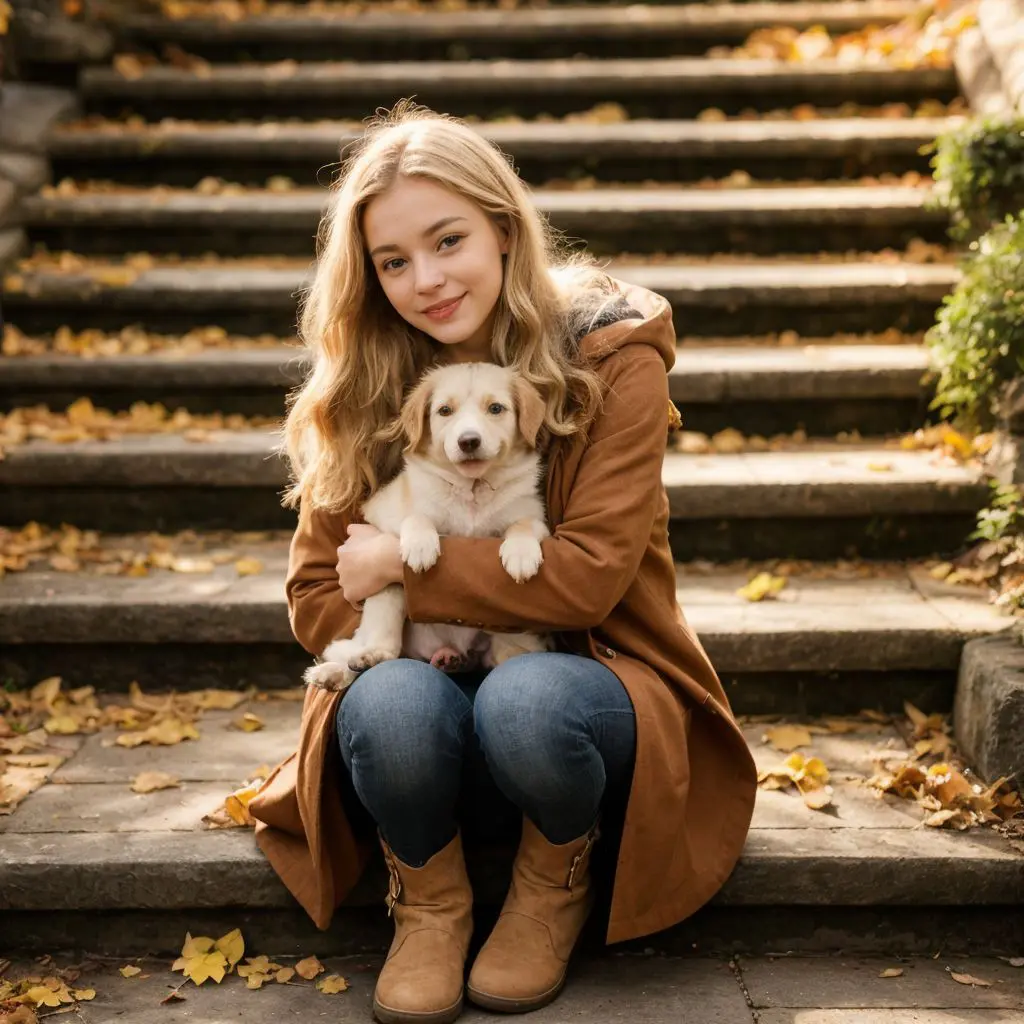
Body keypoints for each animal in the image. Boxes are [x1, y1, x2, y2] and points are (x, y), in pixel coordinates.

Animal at [305, 362, 552, 696]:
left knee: (506, 653)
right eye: (444, 410)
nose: (468, 441)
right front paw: (421, 546)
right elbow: (417, 516)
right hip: (388, 597)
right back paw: (347, 667)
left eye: (496, 408)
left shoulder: (534, 515)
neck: (472, 489)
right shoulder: (388, 513)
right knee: (380, 647)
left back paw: (454, 659)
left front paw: (521, 555)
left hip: (507, 639)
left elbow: (522, 525)